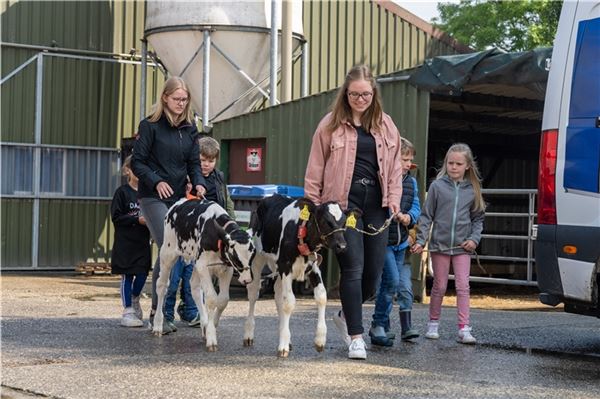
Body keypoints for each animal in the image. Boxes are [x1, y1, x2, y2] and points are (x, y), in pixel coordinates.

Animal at [154, 198, 254, 352]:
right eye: (236, 258)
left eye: (253, 255)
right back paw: (158, 325)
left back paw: (204, 324)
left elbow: (223, 299)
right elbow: (212, 299)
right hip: (168, 253)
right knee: (162, 286)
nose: (247, 280)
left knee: (194, 287)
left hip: (195, 262)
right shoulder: (204, 266)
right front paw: (211, 337)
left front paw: (211, 325)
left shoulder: (226, 269)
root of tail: (179, 202)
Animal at [243, 195, 358, 358]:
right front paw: (283, 346)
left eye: (344, 222)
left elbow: (321, 296)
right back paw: (248, 335)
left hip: (278, 269)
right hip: (258, 259)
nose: (342, 246)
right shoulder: (286, 267)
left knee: (278, 295)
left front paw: (320, 340)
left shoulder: (313, 266)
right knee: (254, 293)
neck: (300, 230)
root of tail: (269, 197)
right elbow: (289, 302)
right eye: (326, 221)